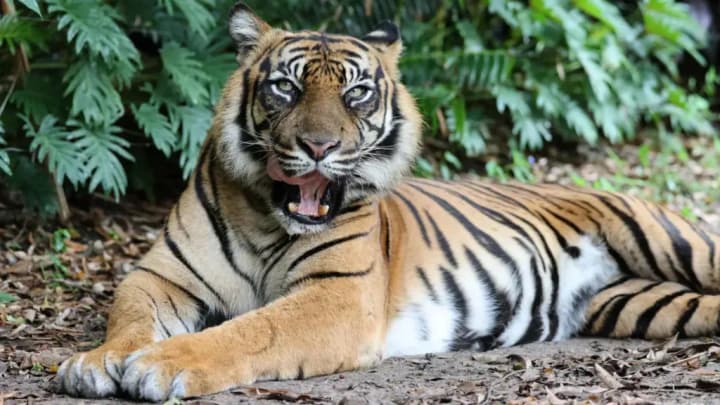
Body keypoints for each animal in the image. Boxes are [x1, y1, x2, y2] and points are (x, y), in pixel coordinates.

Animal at [57, 2, 720, 401]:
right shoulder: (161, 276)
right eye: (286, 87)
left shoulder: (339, 297)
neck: (268, 219)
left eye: (356, 94)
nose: (318, 147)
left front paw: (162, 364)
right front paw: (96, 362)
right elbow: (131, 317)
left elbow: (251, 330)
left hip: (676, 242)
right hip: (642, 303)